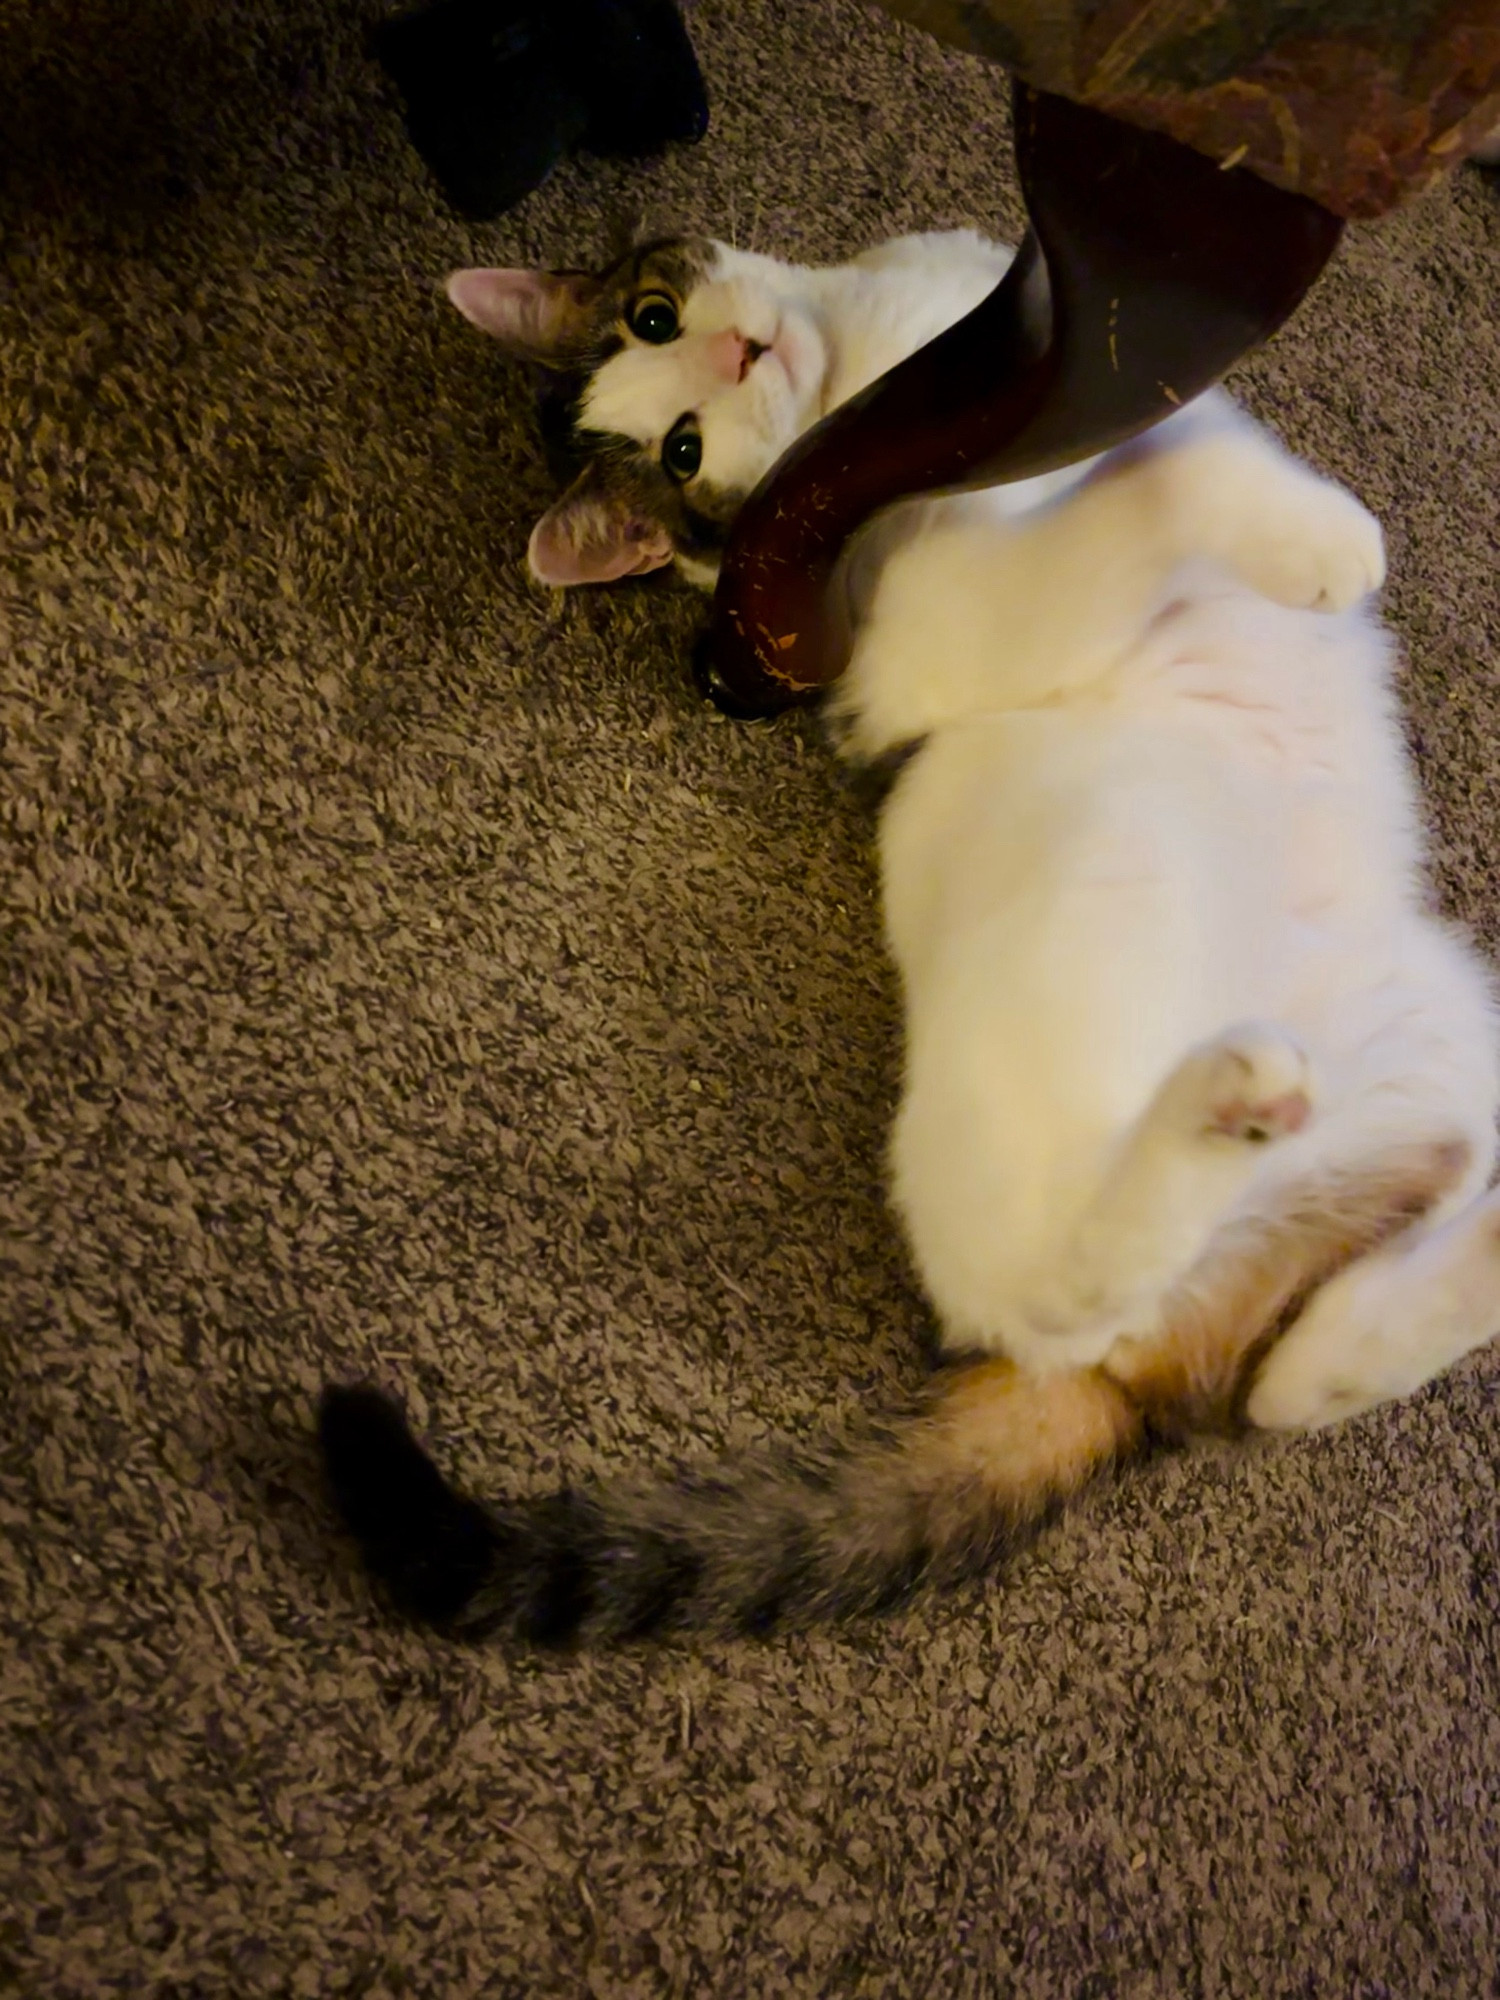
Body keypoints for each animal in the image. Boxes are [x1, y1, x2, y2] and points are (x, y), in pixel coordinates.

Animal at [318, 230, 1500, 1640]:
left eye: (659, 318)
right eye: (680, 448)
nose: (738, 352)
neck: (870, 357)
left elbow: (1186, 435)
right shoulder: (932, 634)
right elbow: (1153, 474)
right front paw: (1319, 534)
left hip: (1451, 1024)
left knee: (1292, 1375)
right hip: (1102, 894)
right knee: (1077, 1299)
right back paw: (1229, 1108)